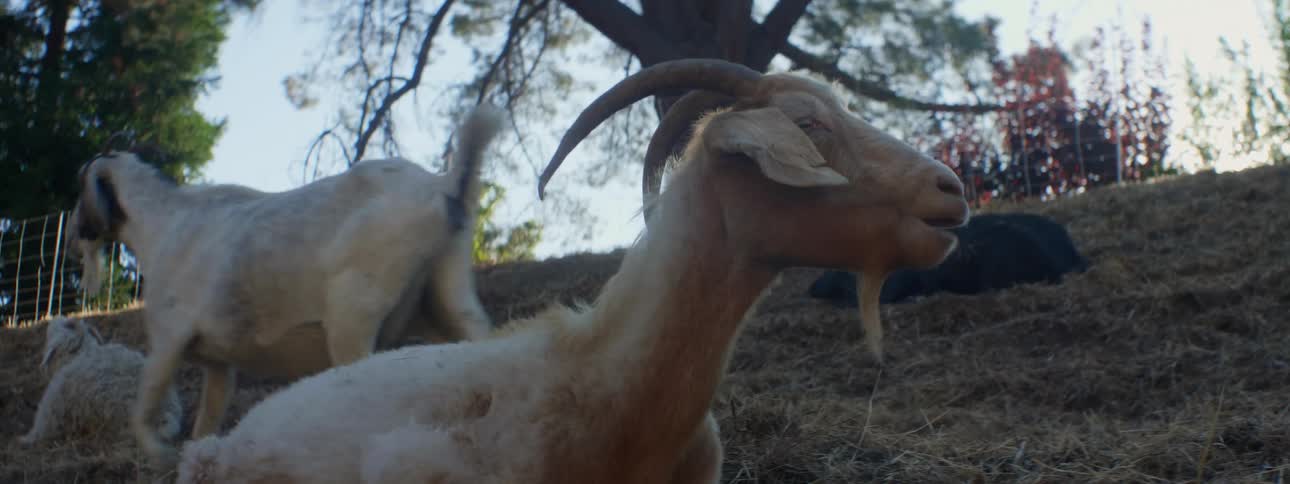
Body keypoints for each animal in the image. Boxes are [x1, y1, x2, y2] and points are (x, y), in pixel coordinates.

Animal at [68, 106, 506, 466]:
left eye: (81, 182)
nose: (74, 232)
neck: (163, 223)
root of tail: (445, 187)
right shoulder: (218, 365)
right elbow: (206, 421)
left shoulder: (167, 339)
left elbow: (144, 408)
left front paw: (160, 452)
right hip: (444, 296)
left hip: (354, 315)